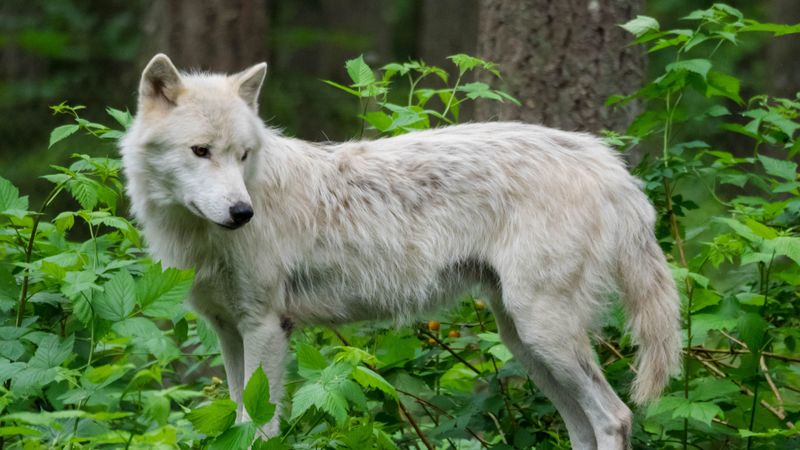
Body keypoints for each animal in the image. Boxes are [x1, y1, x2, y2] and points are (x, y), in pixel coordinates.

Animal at [120, 54, 681, 450]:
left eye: (242, 155)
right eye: (201, 152)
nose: (242, 212)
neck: (200, 235)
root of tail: (605, 163)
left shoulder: (264, 328)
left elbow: (259, 428)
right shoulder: (228, 330)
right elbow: (238, 419)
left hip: (545, 335)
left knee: (615, 418)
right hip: (525, 342)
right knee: (582, 427)